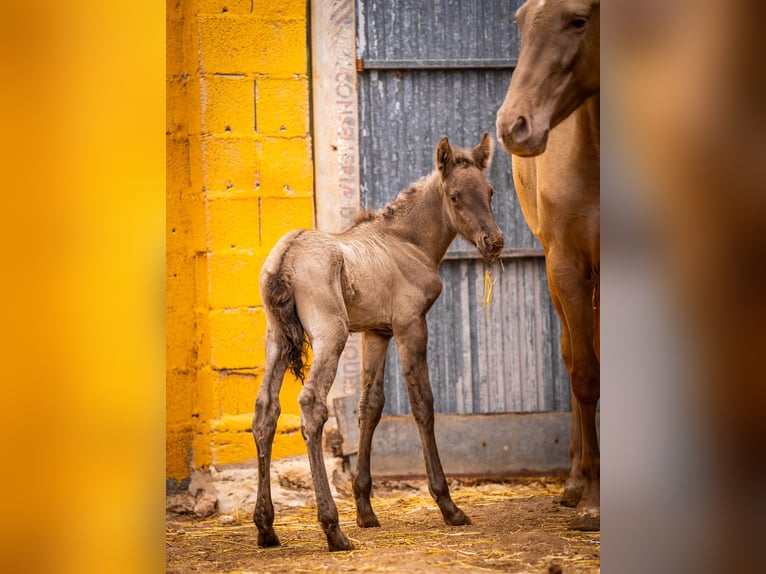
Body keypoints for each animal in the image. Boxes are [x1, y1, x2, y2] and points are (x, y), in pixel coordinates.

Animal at [252, 135, 504, 552]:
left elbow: (370, 405)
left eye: (490, 191)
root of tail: (286, 257)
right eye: (455, 197)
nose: (494, 242)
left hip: (275, 339)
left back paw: (266, 527)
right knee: (311, 406)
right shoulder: (410, 325)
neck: (407, 241)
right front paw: (449, 506)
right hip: (331, 335)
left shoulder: (377, 332)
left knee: (265, 411)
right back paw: (332, 529)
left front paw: (366, 510)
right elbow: (422, 403)